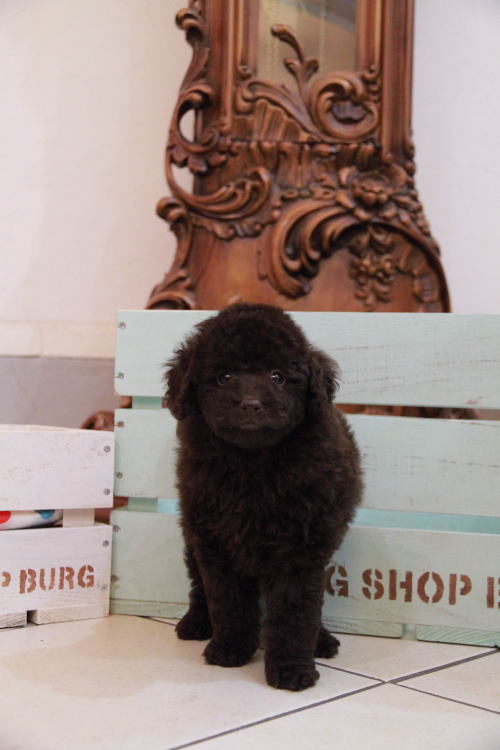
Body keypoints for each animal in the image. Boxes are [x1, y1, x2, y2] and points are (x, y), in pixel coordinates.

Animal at [165, 303, 362, 690]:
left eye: (278, 376)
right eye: (224, 376)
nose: (251, 404)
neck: (253, 463)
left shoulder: (300, 549)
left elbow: (295, 610)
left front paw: (291, 670)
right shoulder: (215, 541)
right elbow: (226, 599)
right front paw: (230, 649)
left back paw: (322, 640)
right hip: (194, 535)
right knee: (198, 583)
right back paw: (196, 622)